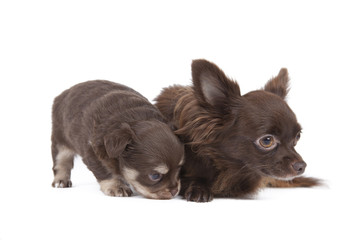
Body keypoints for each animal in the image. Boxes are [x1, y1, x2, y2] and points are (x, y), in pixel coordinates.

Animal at [51, 80, 184, 199]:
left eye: (179, 170)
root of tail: (63, 94)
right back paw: (60, 180)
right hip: (60, 139)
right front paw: (116, 186)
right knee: (61, 161)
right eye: (155, 176)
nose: (175, 191)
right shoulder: (92, 152)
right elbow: (106, 172)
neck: (135, 119)